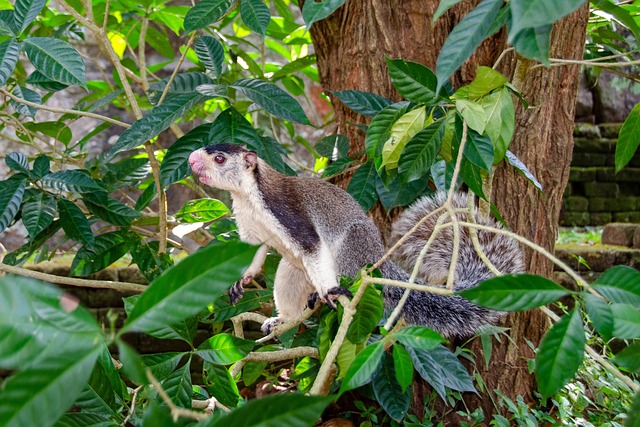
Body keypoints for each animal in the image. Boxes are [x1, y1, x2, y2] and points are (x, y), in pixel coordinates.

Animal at [188, 145, 524, 340]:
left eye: (219, 158)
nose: (190, 159)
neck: (248, 197)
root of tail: (377, 259)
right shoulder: (248, 227)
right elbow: (254, 253)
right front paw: (241, 281)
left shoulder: (288, 213)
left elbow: (312, 245)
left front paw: (329, 291)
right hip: (291, 273)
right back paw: (284, 318)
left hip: (352, 250)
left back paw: (326, 293)